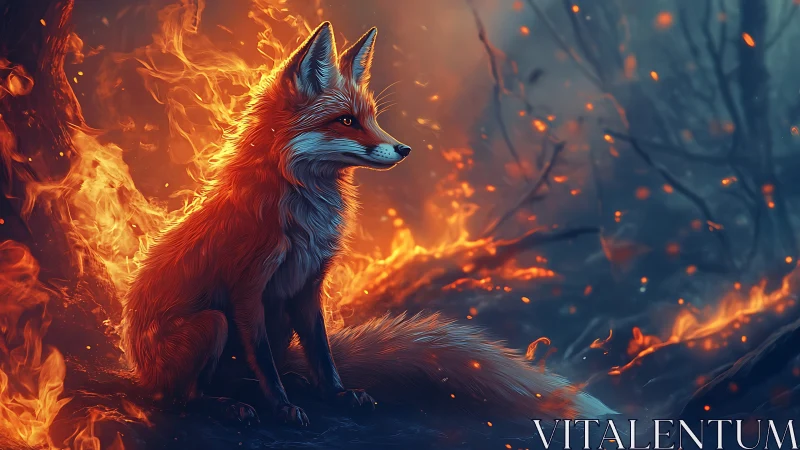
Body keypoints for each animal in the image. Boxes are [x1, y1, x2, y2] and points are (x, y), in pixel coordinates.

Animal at [123, 22, 615, 426]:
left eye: (372, 118)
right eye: (346, 121)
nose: (404, 149)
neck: (305, 219)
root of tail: (139, 368)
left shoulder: (307, 288)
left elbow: (322, 353)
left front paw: (335, 394)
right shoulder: (248, 291)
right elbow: (263, 361)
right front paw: (282, 408)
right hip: (212, 325)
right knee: (184, 396)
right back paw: (229, 404)